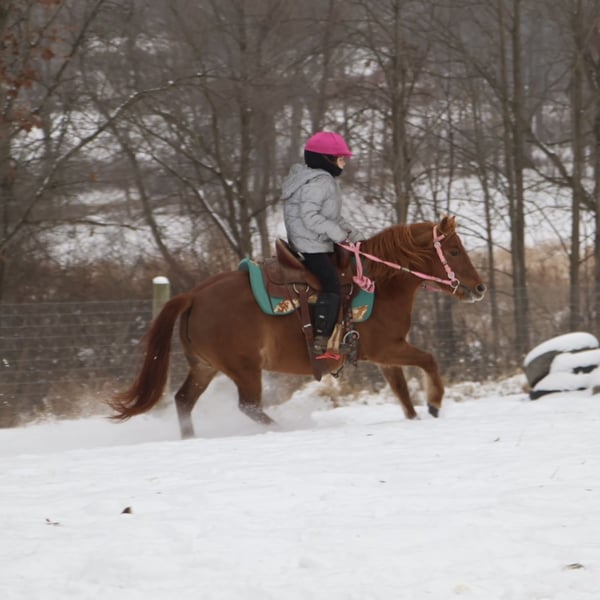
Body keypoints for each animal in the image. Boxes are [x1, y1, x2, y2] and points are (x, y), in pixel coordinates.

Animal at [109, 216, 486, 438]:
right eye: (454, 250)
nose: (480, 288)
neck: (380, 283)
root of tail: (193, 295)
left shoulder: (383, 356)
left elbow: (403, 393)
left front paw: (416, 416)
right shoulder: (389, 348)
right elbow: (429, 360)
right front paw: (435, 402)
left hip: (204, 367)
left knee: (184, 401)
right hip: (244, 369)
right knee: (249, 407)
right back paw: (285, 428)